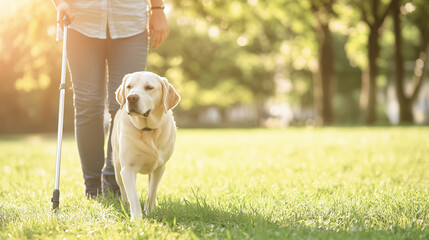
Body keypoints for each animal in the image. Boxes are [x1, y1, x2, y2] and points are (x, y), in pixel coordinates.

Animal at [111, 70, 180, 220]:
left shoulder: (159, 168)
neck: (147, 130)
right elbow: (133, 197)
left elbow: (151, 192)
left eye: (149, 87)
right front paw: (137, 219)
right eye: (129, 86)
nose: (131, 98)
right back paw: (125, 205)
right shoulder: (127, 169)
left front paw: (149, 212)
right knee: (123, 190)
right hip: (117, 167)